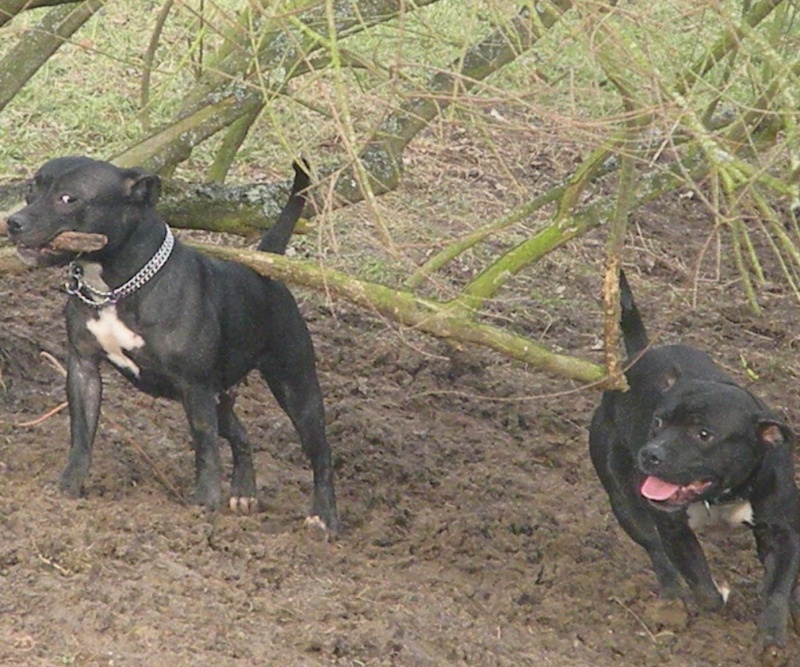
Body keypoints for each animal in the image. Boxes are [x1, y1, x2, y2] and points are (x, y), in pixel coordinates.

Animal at [4, 155, 340, 532]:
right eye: (30, 192)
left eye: (68, 199)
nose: (14, 222)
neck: (117, 286)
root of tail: (264, 269)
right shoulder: (83, 369)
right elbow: (82, 433)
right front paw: (69, 487)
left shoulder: (194, 387)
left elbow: (205, 446)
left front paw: (203, 505)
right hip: (220, 396)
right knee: (240, 433)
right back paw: (244, 492)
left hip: (294, 387)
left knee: (319, 451)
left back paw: (324, 516)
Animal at [588, 270, 800, 652]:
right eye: (658, 421)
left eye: (704, 434)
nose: (651, 453)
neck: (723, 494)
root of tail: (639, 354)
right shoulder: (673, 528)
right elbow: (701, 583)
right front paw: (719, 595)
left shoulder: (783, 530)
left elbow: (779, 587)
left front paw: (773, 637)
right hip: (624, 501)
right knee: (656, 549)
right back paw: (672, 600)